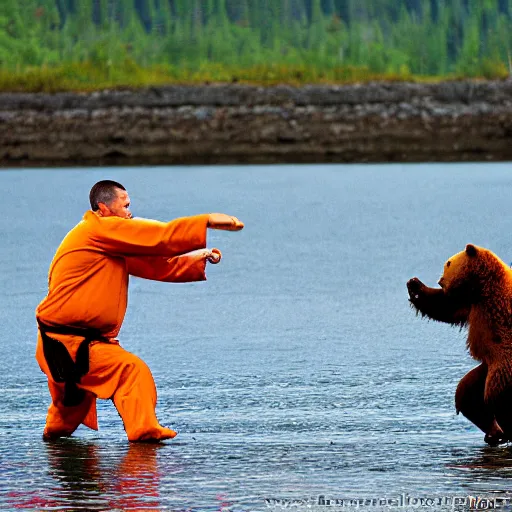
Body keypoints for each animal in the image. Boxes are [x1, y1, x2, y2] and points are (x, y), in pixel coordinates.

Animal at [408, 243, 512, 444]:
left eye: (448, 263)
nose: (440, 280)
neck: (483, 285)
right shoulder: (471, 303)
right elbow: (445, 306)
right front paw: (414, 285)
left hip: (502, 372)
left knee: (498, 400)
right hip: (485, 371)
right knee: (467, 394)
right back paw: (494, 433)